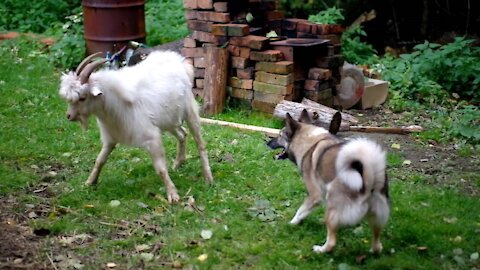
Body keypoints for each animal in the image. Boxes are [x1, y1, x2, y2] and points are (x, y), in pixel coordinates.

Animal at [59, 50, 213, 202]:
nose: (69, 116)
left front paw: (173, 195)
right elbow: (99, 160)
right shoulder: (111, 138)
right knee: (182, 134)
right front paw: (90, 182)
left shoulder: (152, 138)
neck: (115, 104)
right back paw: (178, 163)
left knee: (200, 143)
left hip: (189, 111)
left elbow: (161, 170)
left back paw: (208, 178)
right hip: (169, 119)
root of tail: (180, 62)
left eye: (82, 98)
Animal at [266, 109, 390, 253]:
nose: (266, 142)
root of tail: (368, 182)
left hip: (332, 209)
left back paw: (320, 249)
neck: (310, 143)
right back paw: (373, 250)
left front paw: (291, 223)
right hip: (377, 217)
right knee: (377, 243)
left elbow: (300, 211)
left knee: (331, 242)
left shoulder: (314, 195)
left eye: (280, 134)